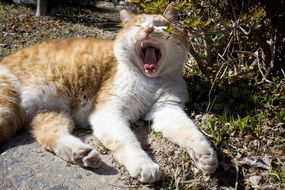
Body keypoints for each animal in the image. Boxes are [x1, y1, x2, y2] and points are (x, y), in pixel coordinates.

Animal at [0, 2, 217, 183]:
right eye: (138, 26)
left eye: (160, 25)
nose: (148, 30)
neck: (150, 80)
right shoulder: (110, 112)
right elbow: (127, 141)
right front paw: (143, 165)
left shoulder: (167, 109)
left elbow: (188, 130)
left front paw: (205, 155)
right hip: (7, 107)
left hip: (52, 114)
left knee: (49, 135)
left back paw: (82, 154)